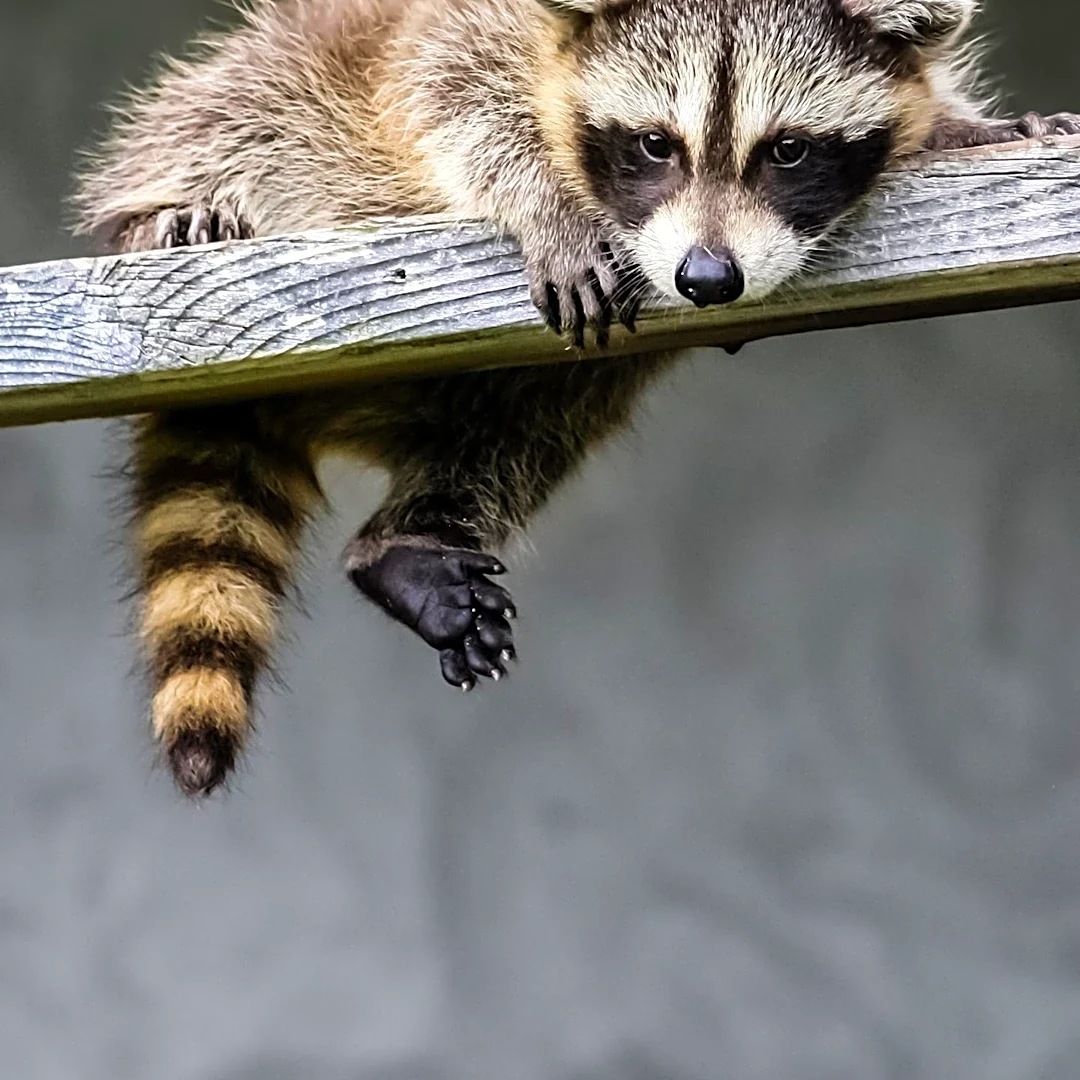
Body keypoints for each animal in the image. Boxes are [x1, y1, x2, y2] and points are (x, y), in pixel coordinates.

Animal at [74, 0, 1078, 796]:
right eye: (654, 145)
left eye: (788, 151)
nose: (707, 277)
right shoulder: (464, 33)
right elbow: (449, 92)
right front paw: (546, 202)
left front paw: (971, 129)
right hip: (257, 90)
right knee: (228, 118)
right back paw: (166, 218)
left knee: (535, 419)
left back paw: (409, 541)